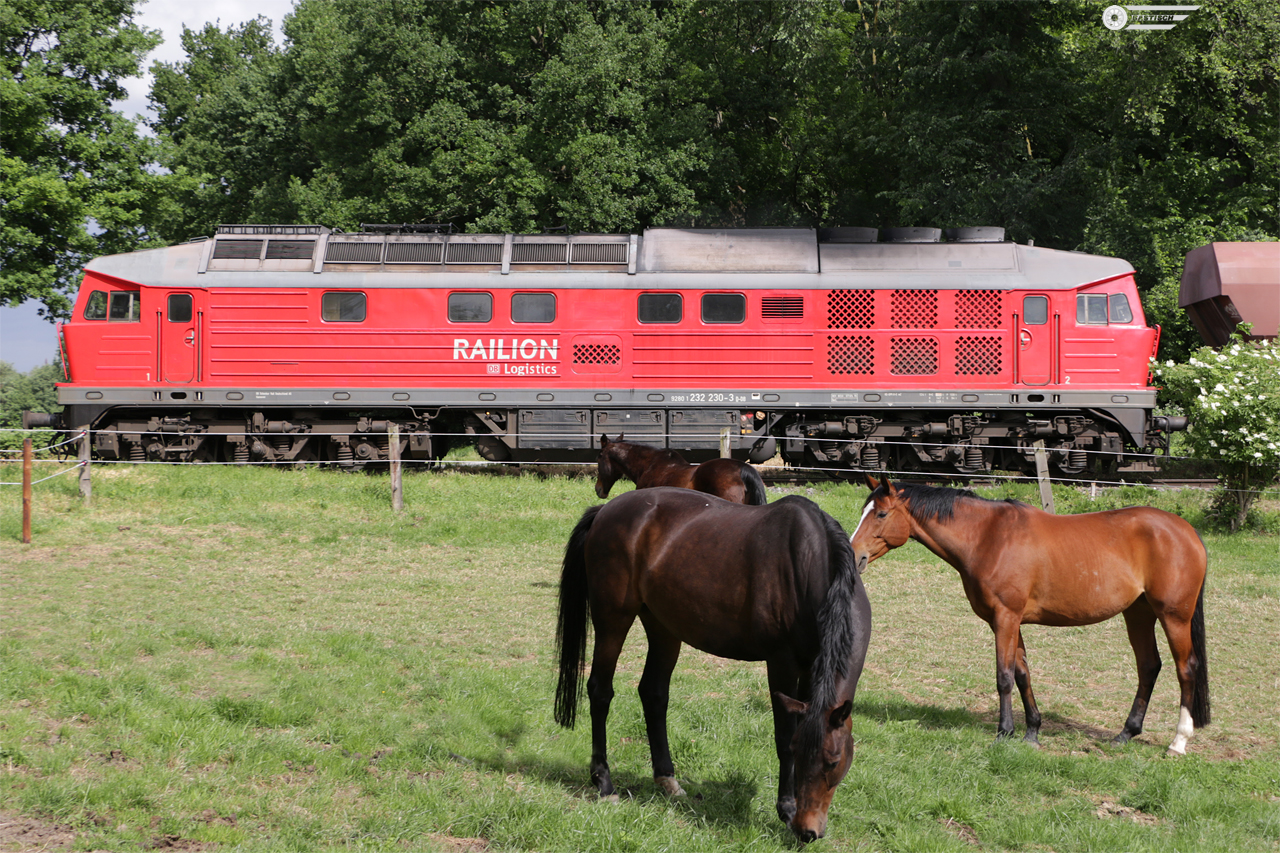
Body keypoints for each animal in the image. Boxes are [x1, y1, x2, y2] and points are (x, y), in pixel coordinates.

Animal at [552, 484, 870, 835]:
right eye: (800, 756)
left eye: (833, 762)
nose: (807, 831)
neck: (812, 567)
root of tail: (605, 511)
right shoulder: (782, 663)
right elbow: (784, 734)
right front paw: (786, 808)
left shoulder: (809, 668)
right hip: (613, 620)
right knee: (600, 691)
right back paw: (604, 782)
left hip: (663, 627)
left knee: (653, 693)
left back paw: (667, 779)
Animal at [849, 473, 1208, 753]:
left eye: (881, 514)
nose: (855, 557)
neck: (988, 536)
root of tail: (1187, 531)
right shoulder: (1010, 620)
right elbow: (1023, 674)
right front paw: (1032, 731)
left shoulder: (1005, 617)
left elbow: (1004, 676)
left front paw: (1003, 732)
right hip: (1138, 613)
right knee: (1148, 666)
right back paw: (1125, 733)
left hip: (1174, 617)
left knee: (1186, 669)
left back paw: (1178, 742)